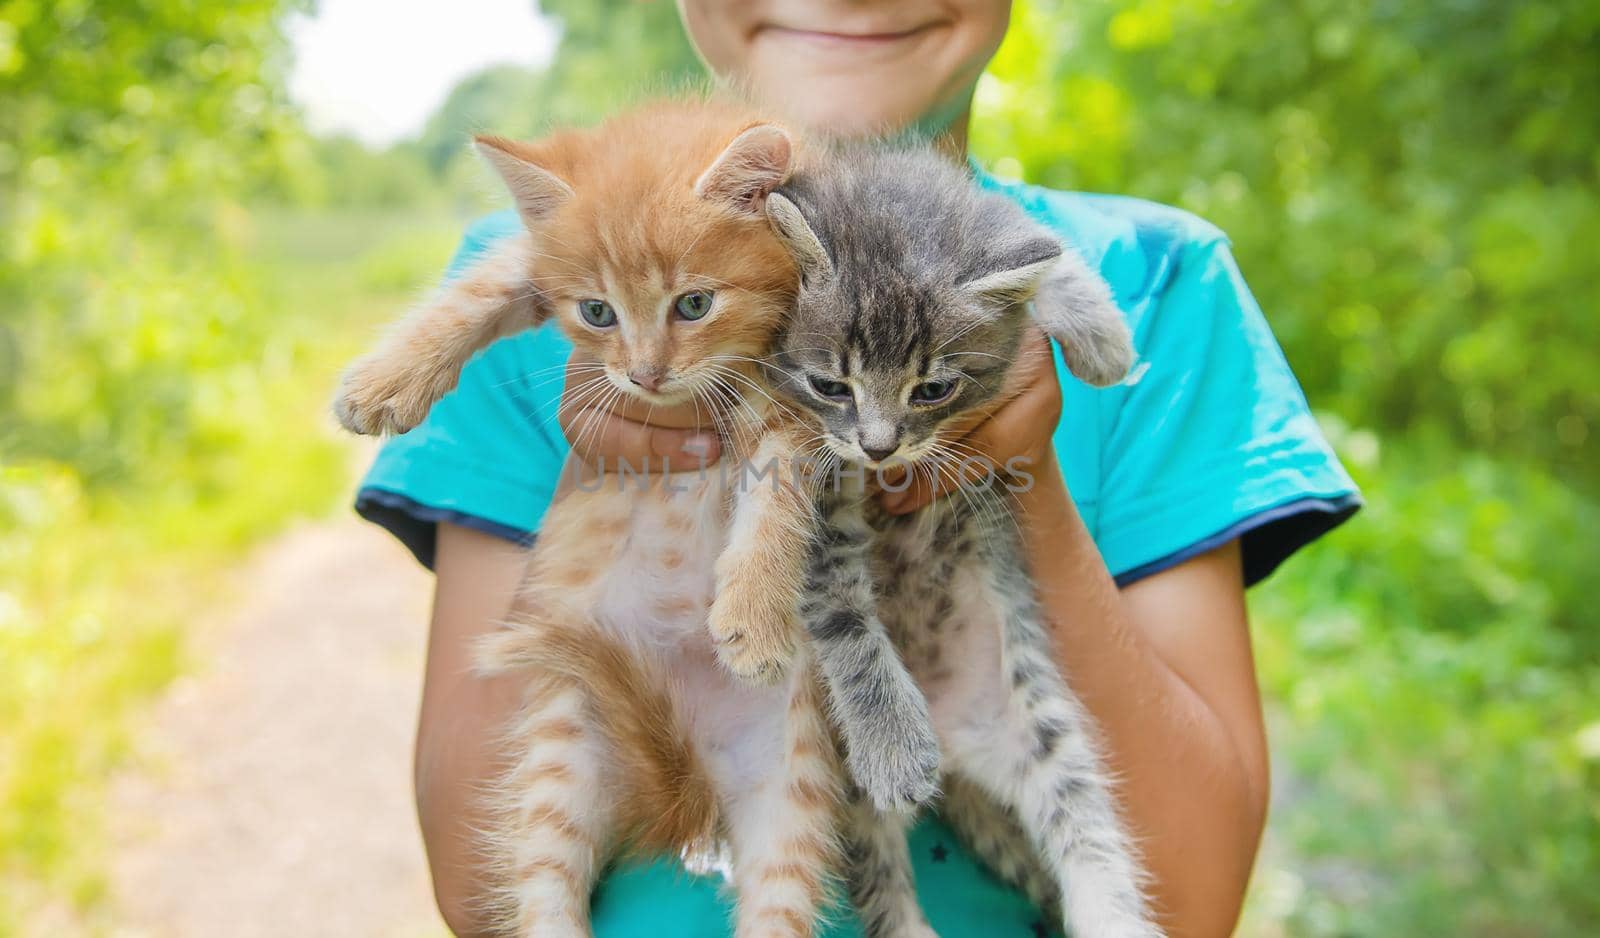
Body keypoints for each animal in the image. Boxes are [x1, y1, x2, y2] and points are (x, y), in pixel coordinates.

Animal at [764, 149, 1164, 934]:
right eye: (831, 384)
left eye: (932, 389)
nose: (879, 447)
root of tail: (956, 750)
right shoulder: (807, 481)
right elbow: (842, 612)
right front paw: (891, 734)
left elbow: (1047, 252)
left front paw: (1101, 333)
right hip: (848, 783)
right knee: (883, 880)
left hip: (1044, 730)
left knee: (1086, 827)